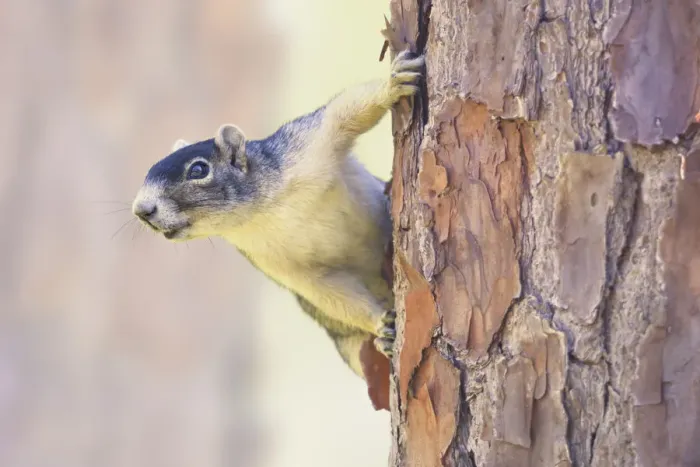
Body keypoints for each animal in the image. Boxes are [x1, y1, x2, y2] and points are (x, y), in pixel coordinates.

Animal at [131, 51, 424, 405]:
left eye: (198, 169)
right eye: (147, 172)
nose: (141, 210)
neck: (262, 212)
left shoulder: (307, 145)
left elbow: (344, 112)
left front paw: (394, 82)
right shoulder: (285, 267)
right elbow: (326, 289)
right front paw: (381, 322)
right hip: (346, 342)